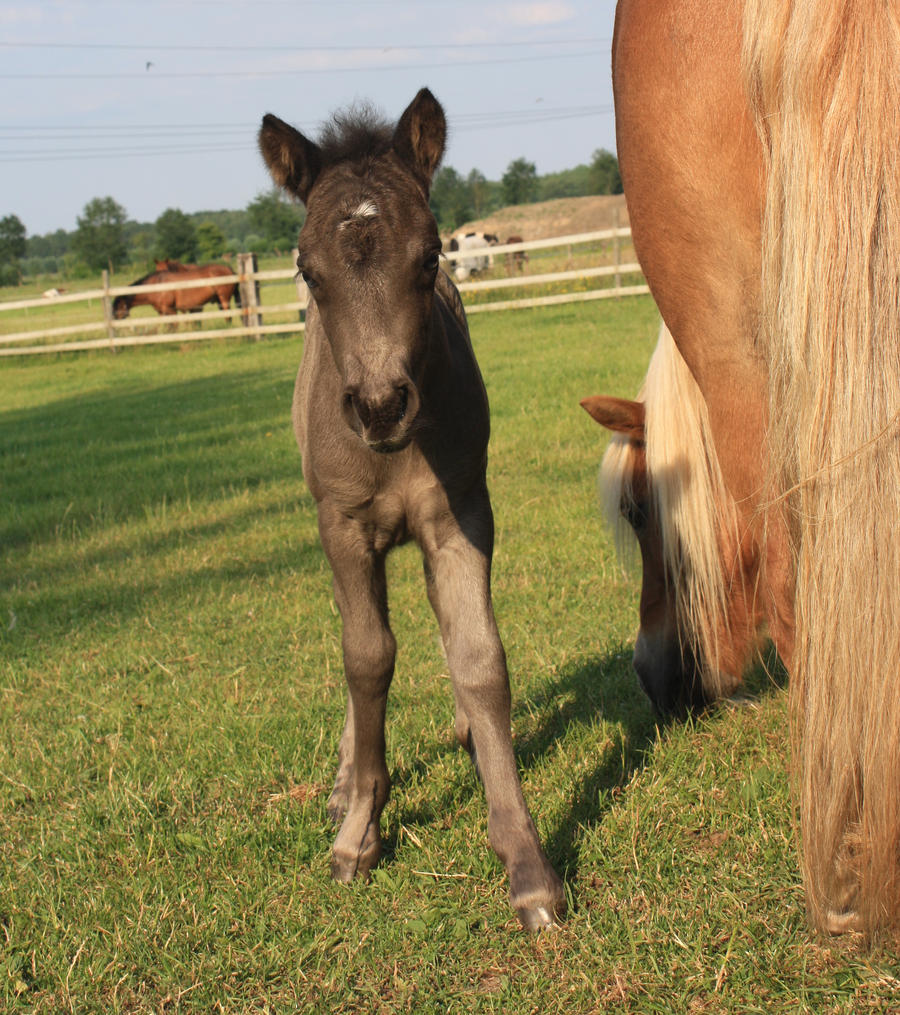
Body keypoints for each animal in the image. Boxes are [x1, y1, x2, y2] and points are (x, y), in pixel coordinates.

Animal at [256, 87, 564, 929]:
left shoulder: (461, 514)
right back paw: (342, 783)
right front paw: (358, 831)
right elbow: (366, 657)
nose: (380, 405)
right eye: (307, 270)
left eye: (429, 258)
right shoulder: (342, 527)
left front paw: (526, 860)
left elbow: (480, 658)